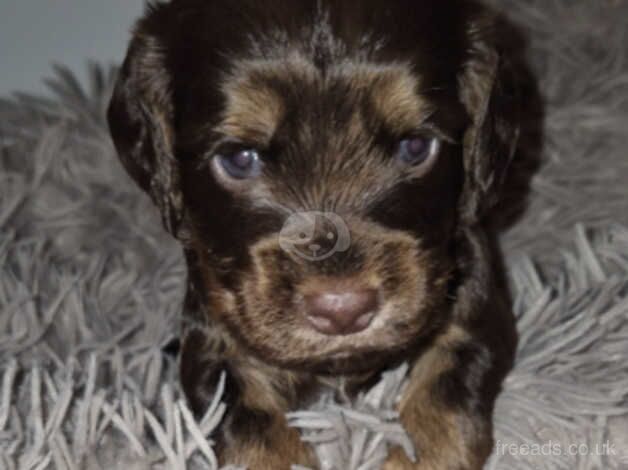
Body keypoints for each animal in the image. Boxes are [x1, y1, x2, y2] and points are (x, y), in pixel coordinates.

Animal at [106, 1, 520, 468]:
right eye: (238, 159)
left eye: (416, 147)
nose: (343, 311)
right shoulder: (216, 333)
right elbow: (247, 420)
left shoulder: (473, 302)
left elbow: (446, 384)